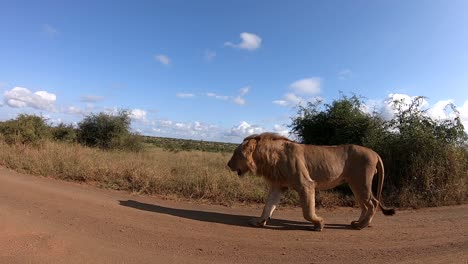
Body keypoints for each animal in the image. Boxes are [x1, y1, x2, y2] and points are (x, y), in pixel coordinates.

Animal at [227, 133, 394, 230]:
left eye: (235, 153)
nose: (228, 164)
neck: (269, 157)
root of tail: (375, 153)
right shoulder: (278, 186)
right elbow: (268, 206)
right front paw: (259, 222)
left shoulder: (306, 184)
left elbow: (307, 211)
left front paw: (319, 223)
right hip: (355, 184)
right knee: (365, 205)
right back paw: (359, 222)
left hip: (361, 182)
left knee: (372, 203)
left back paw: (361, 225)